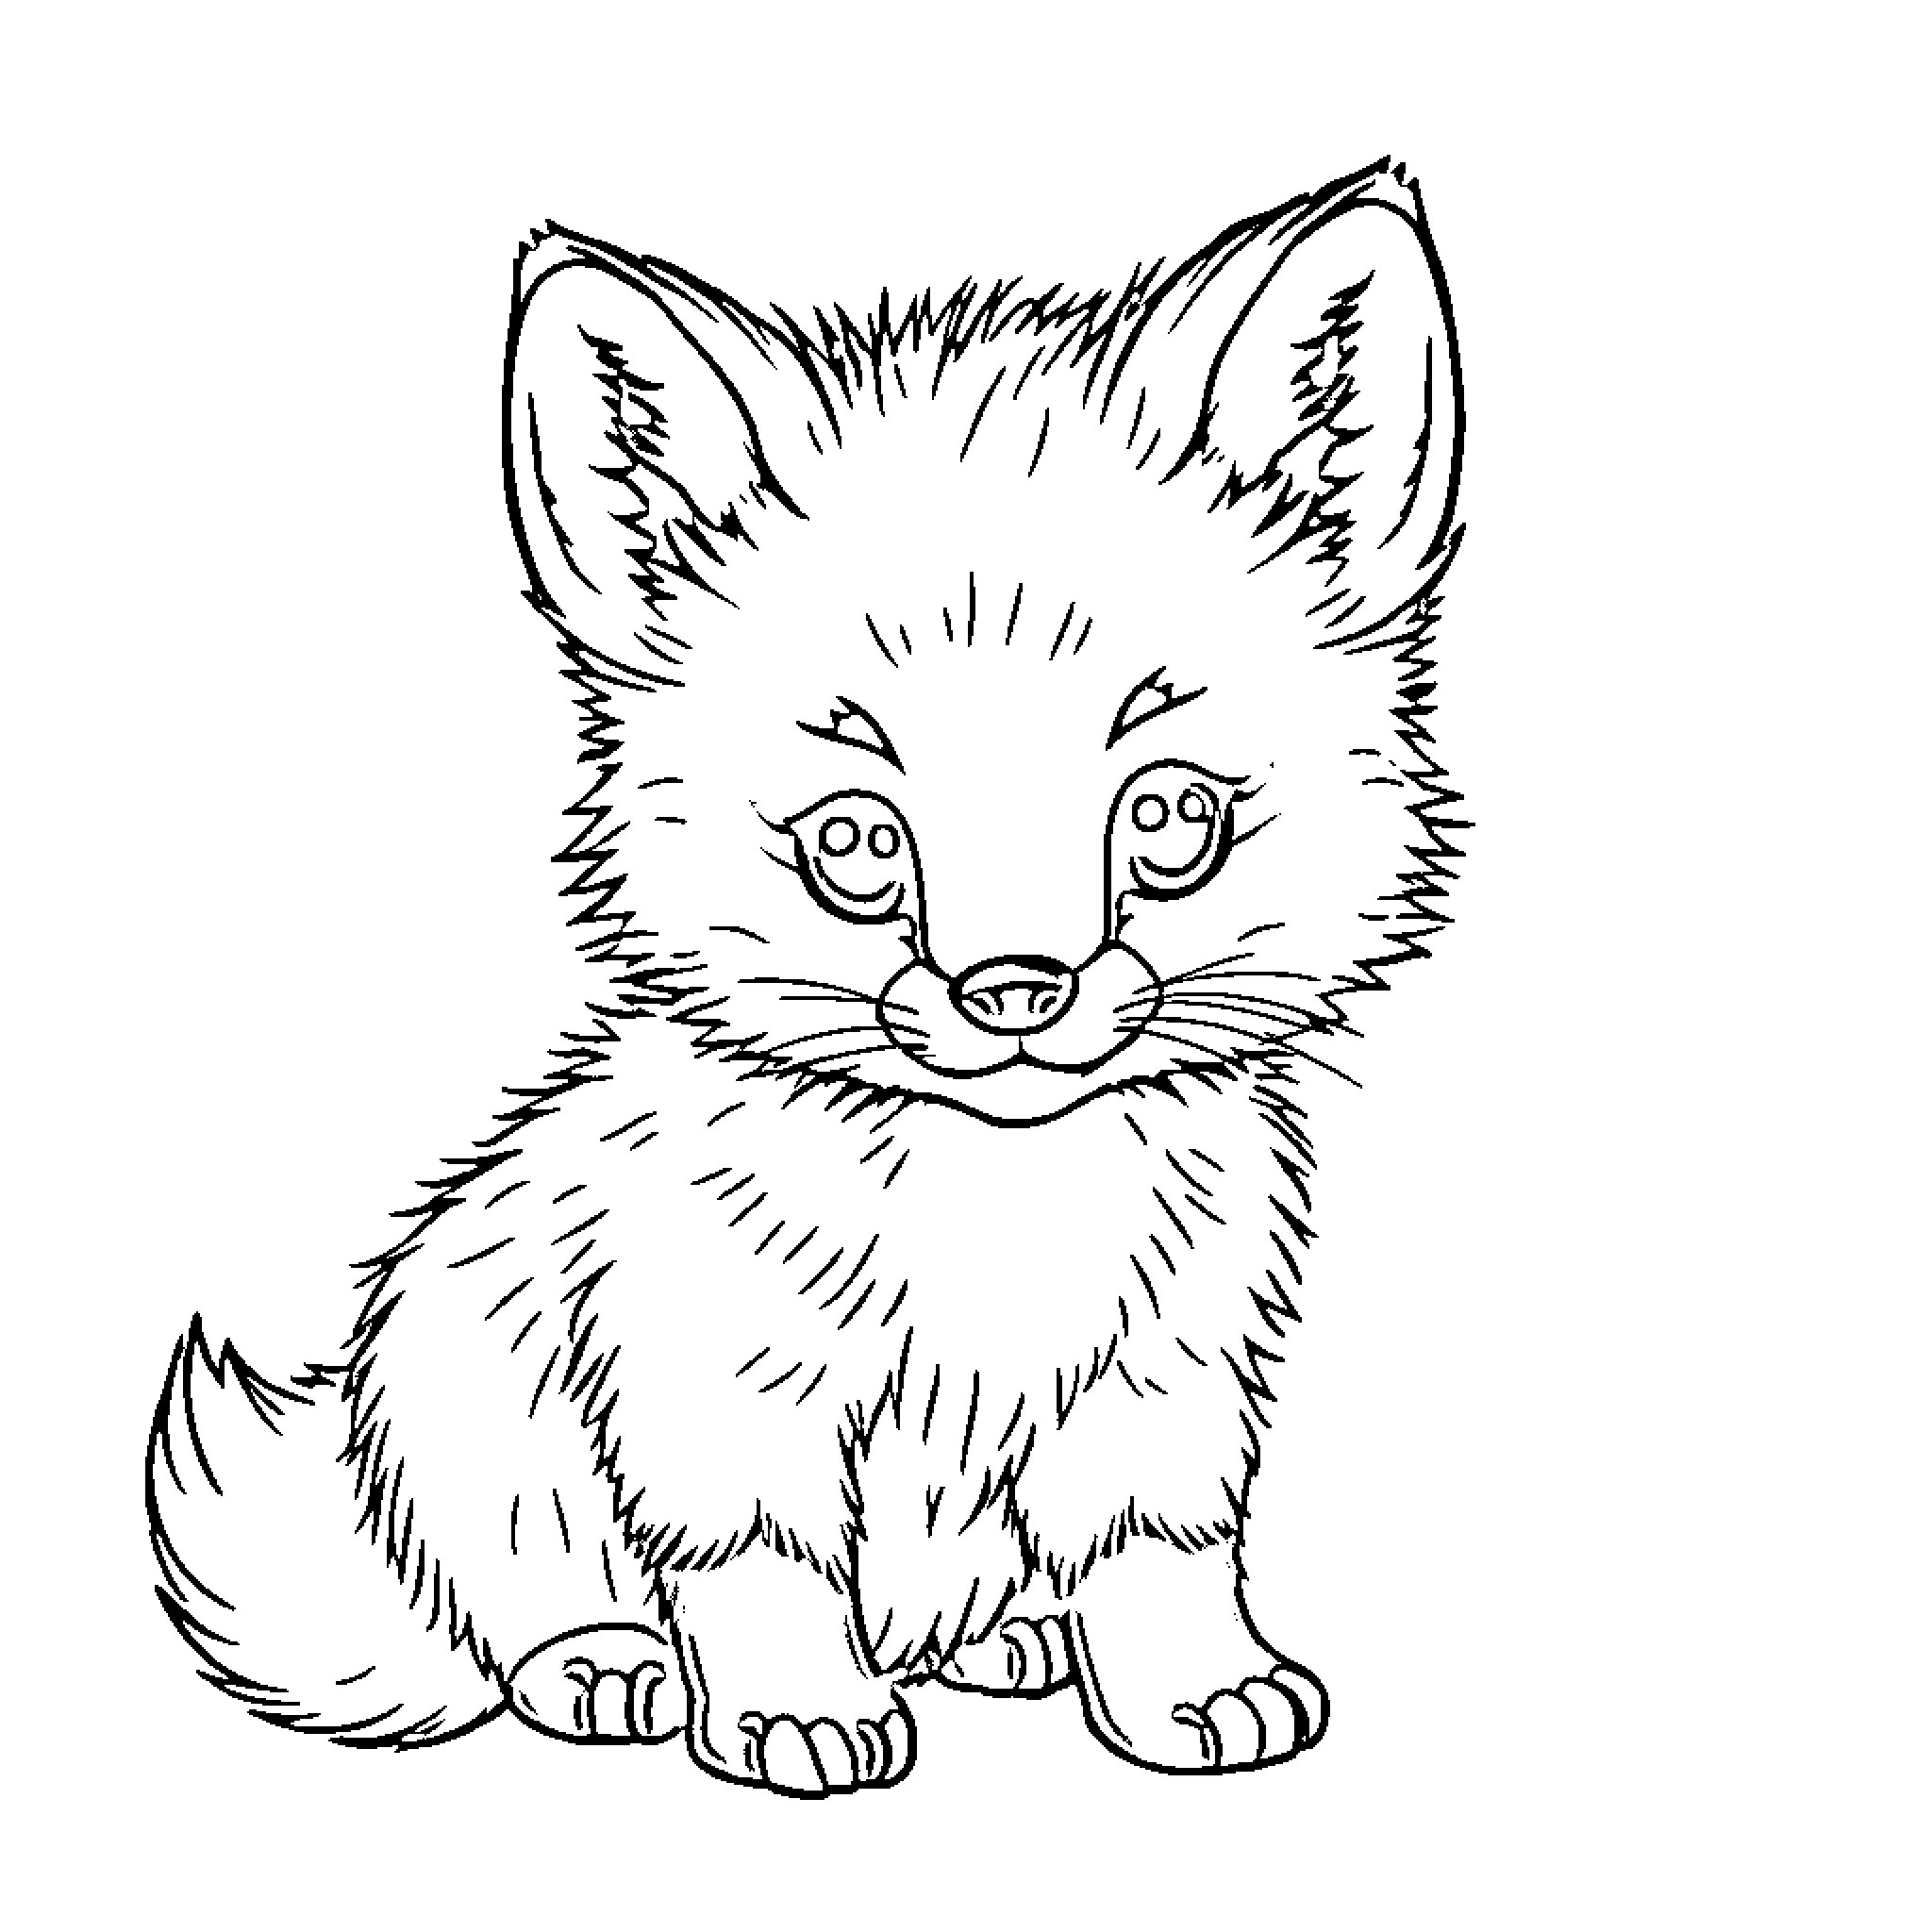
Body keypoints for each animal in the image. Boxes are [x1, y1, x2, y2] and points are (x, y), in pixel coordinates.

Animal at [148, 157, 1465, 1796]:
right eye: (854, 842)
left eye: (1166, 820)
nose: (1015, 991)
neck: (996, 1228)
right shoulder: (711, 1381)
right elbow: (755, 1561)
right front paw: (795, 1713)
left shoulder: (1163, 1382)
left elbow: (1160, 1548)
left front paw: (1194, 1691)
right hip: (471, 1412)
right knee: (512, 1608)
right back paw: (610, 1665)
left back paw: (1004, 1643)